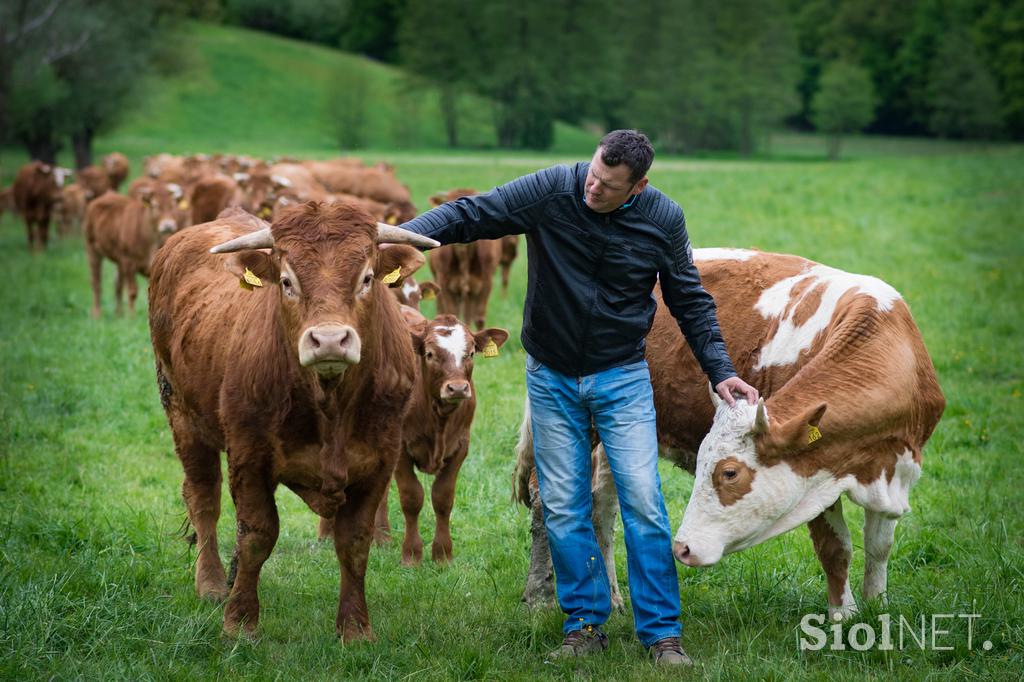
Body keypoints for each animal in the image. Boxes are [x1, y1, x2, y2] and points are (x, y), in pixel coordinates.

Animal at [84, 183, 181, 315]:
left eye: (173, 205)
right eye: (155, 205)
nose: (168, 225)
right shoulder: (128, 262)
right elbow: (132, 291)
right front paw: (131, 316)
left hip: (118, 261)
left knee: (118, 284)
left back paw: (118, 313)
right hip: (92, 249)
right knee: (96, 282)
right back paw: (97, 313)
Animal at [149, 201, 440, 638]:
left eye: (367, 278)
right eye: (287, 282)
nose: (330, 340)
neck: (329, 404)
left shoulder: (380, 460)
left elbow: (355, 542)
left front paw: (355, 628)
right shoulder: (249, 457)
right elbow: (257, 535)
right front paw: (240, 621)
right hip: (183, 417)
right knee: (204, 500)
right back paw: (213, 583)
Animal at [516, 248, 946, 614]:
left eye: (729, 472)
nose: (682, 548)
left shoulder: (894, 466)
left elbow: (879, 546)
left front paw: (877, 607)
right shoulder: (816, 472)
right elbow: (835, 548)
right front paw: (843, 615)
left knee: (601, 507)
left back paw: (613, 599)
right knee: (547, 502)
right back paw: (539, 596)